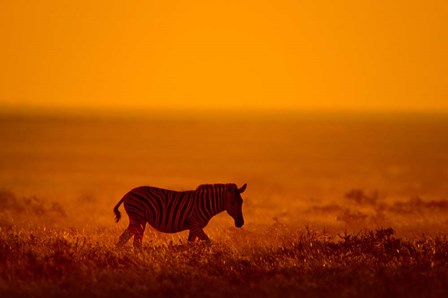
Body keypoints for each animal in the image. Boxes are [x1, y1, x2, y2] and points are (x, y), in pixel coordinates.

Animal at [112, 183, 245, 248]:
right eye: (232, 203)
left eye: (242, 202)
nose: (241, 223)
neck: (206, 203)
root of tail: (128, 193)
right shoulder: (195, 224)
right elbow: (208, 242)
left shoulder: (193, 227)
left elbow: (190, 245)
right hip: (138, 217)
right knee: (135, 242)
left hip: (138, 219)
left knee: (124, 238)